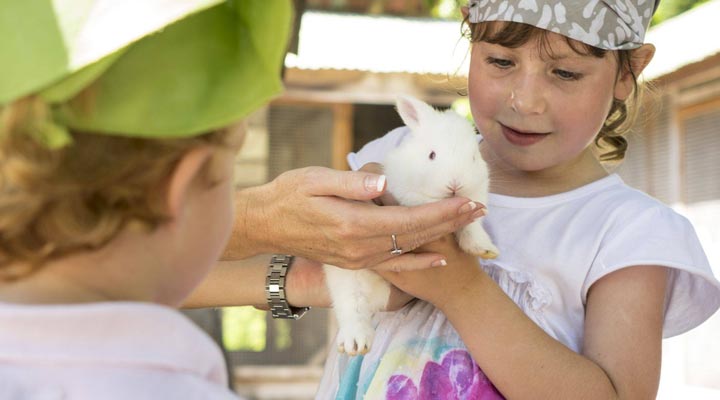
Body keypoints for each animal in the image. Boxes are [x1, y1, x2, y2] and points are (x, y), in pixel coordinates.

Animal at [324, 95, 498, 354]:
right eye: (432, 155)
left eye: (474, 158)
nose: (455, 184)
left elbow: (471, 229)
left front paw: (485, 250)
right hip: (348, 275)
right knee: (353, 305)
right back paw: (356, 342)